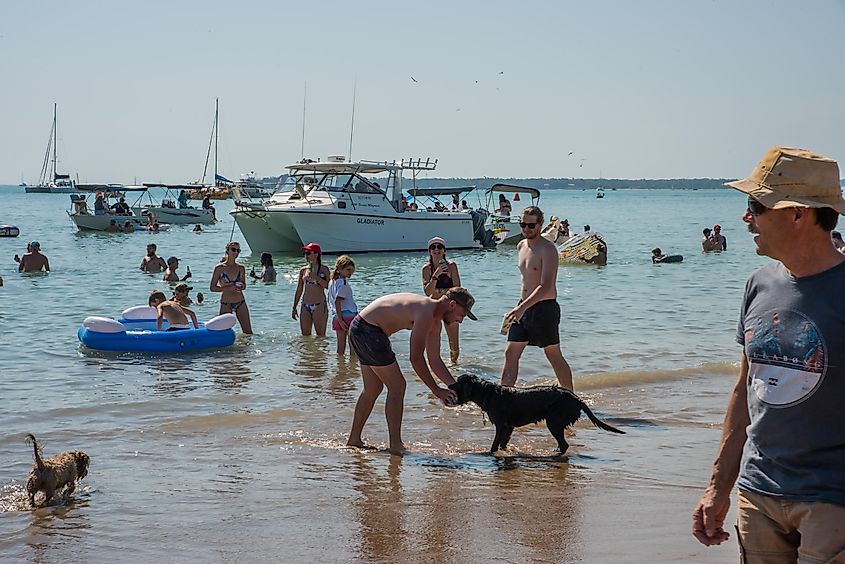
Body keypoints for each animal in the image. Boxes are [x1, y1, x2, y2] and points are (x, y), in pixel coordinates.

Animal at [452, 374, 624, 454]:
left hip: (553, 422)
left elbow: (495, 444)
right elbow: (503, 443)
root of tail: (577, 398)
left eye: (458, 381)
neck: (488, 393)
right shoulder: (508, 427)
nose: (449, 385)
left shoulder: (501, 425)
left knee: (564, 444)